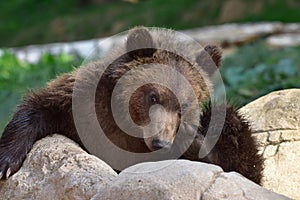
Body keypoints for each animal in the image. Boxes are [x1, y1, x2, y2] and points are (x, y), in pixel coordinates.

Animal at [0, 26, 262, 184]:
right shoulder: (79, 103)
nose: (160, 142)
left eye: (185, 105)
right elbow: (38, 107)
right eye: (153, 96)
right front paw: (6, 163)